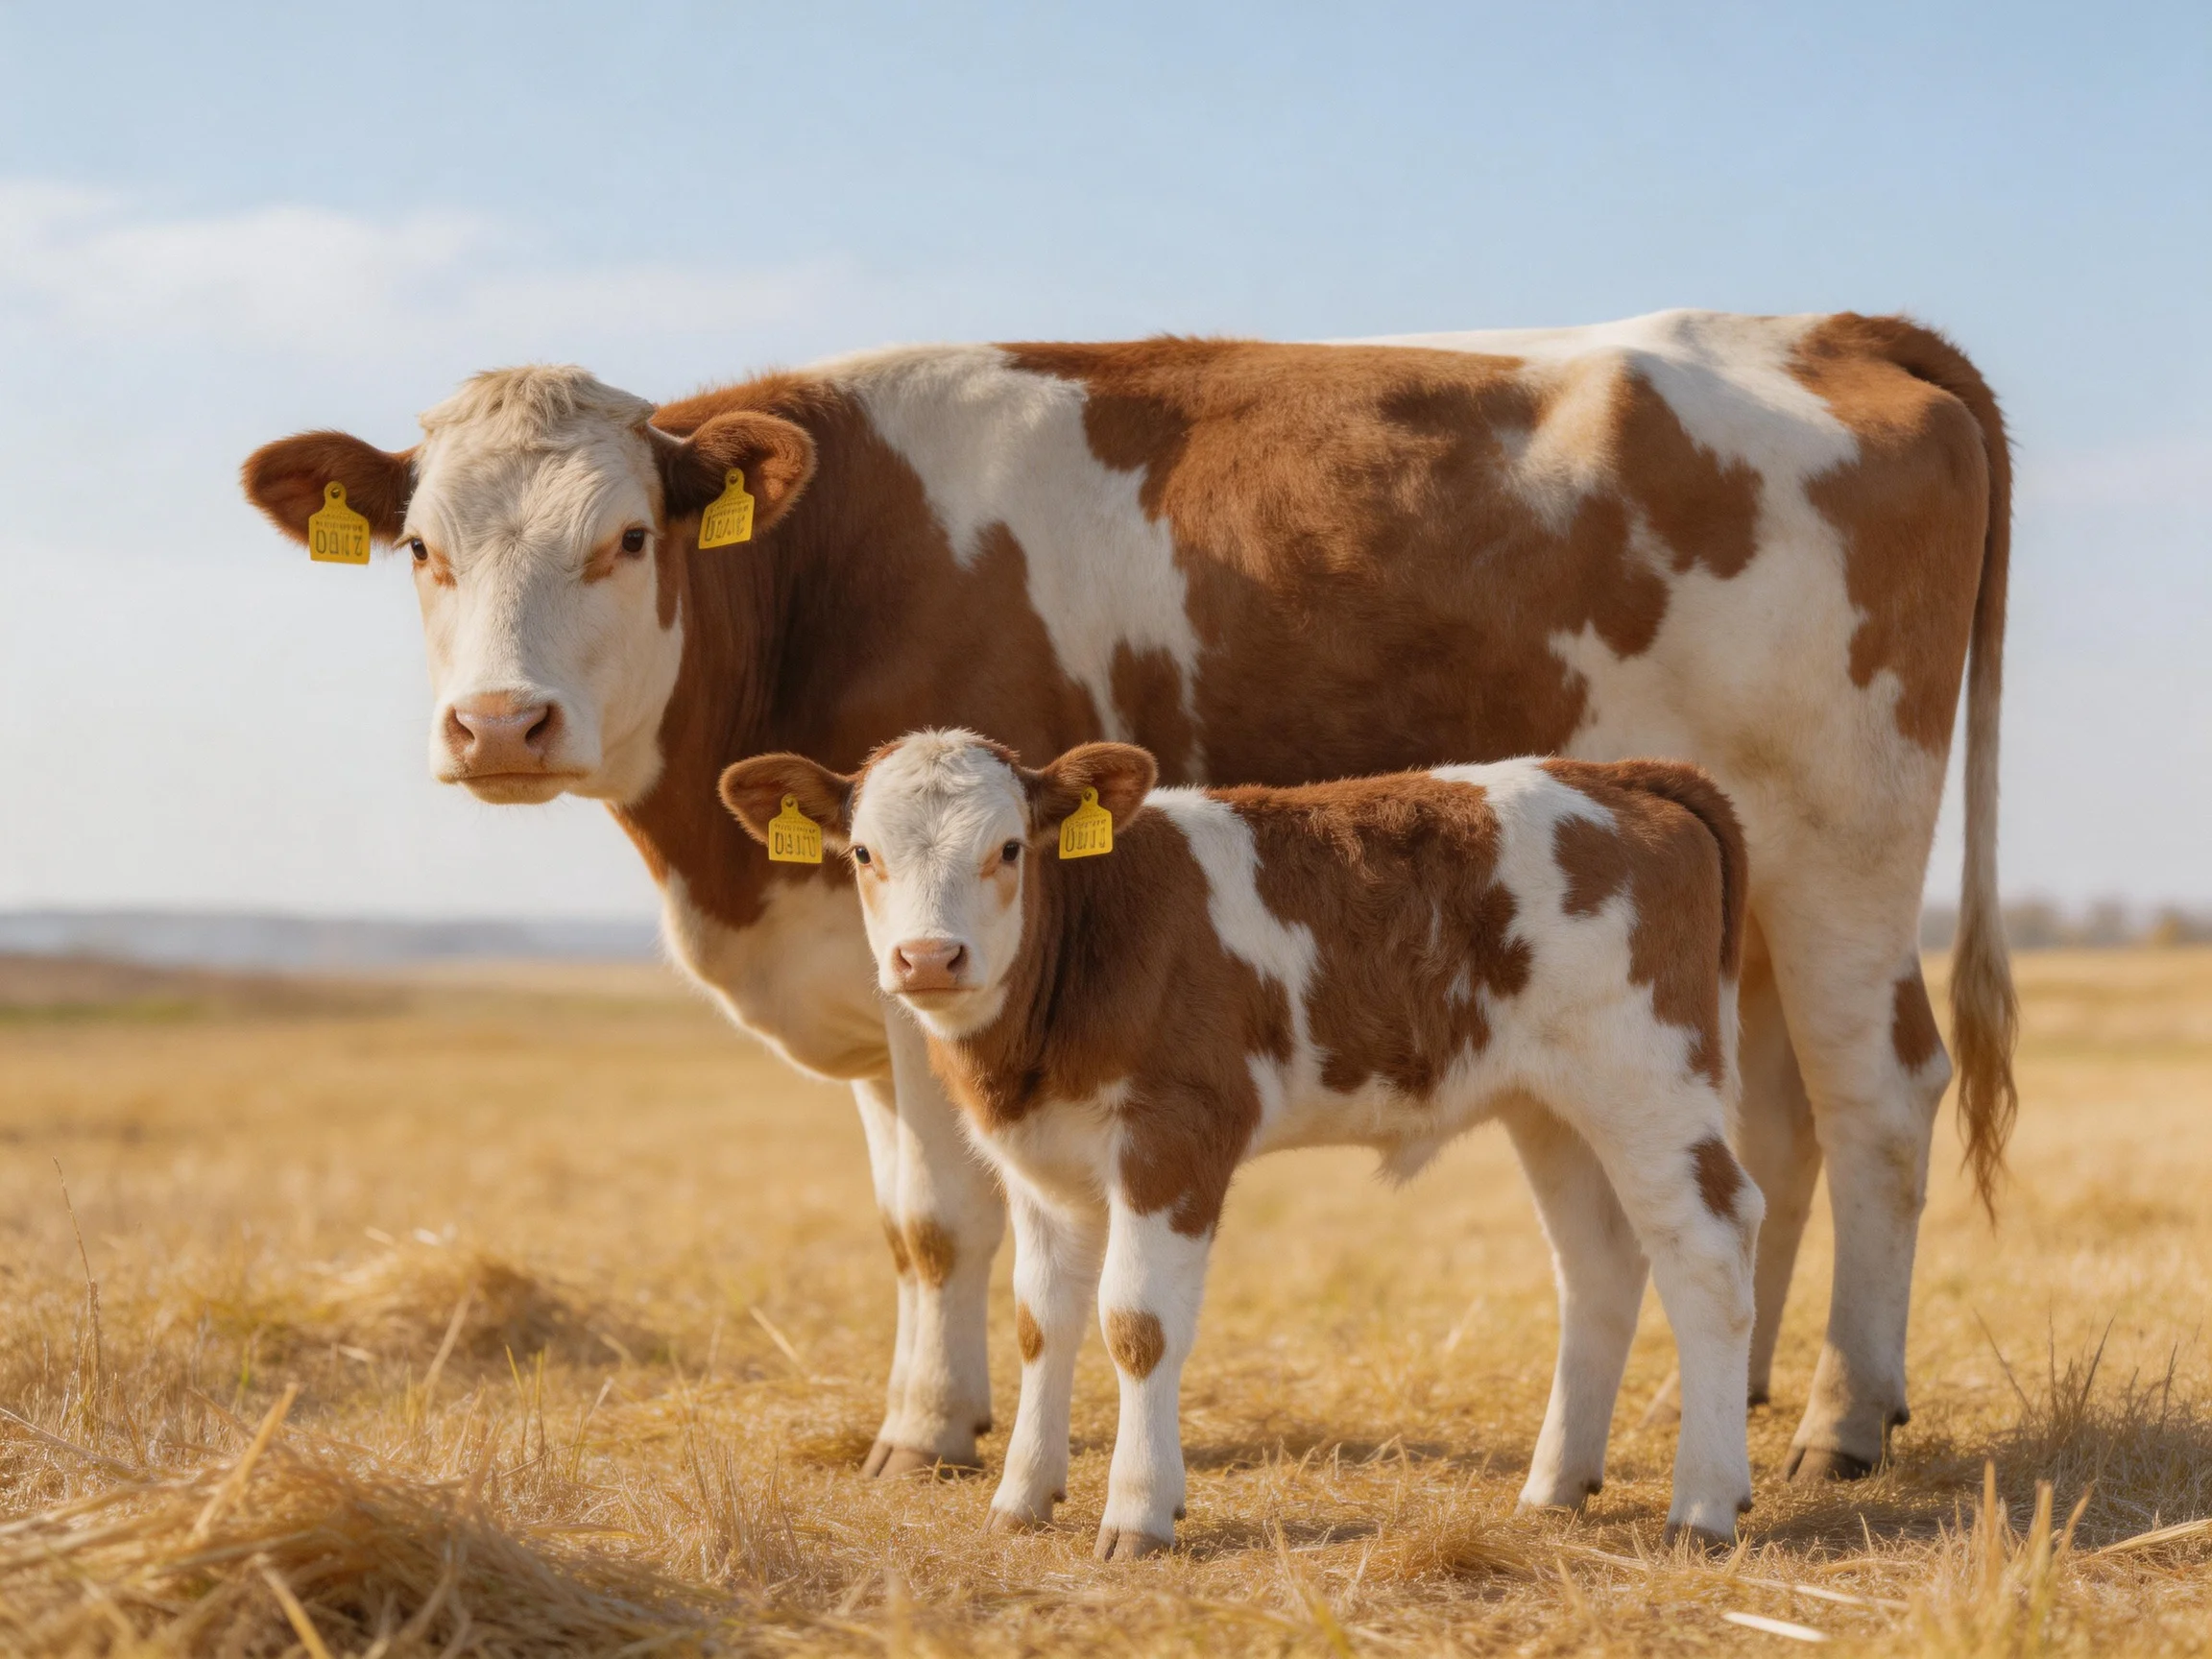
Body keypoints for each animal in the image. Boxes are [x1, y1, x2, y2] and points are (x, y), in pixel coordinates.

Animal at [718, 731, 1762, 1552]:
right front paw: (1020, 1498)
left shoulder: (1176, 1139)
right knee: (1599, 1264)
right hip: (1551, 1105)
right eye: (863, 852)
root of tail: (1622, 773)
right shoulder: (1043, 1165)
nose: (929, 958)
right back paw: (1554, 1488)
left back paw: (1703, 1505)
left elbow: (1137, 1325)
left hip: (1650, 1075)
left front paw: (1138, 1513)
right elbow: (1039, 1322)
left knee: (1709, 1250)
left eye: (1008, 847)